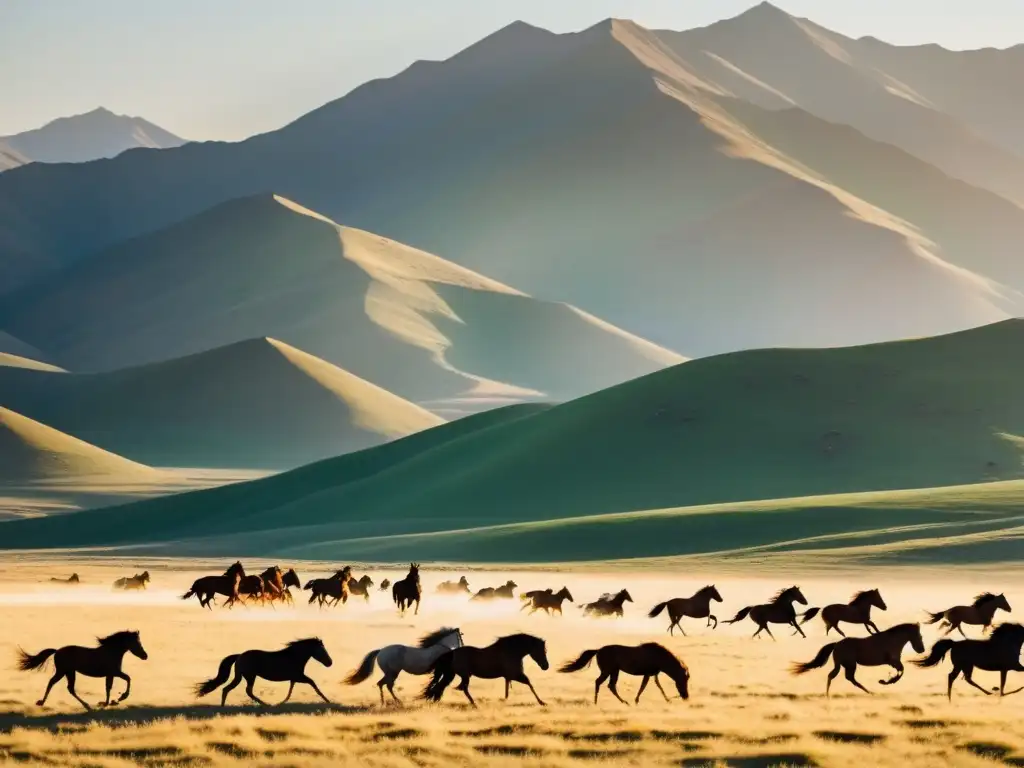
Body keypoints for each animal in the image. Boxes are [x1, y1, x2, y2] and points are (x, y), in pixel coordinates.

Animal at [17, 626, 148, 712]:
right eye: (137, 643)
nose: (145, 656)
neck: (111, 652)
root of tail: (57, 651)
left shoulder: (110, 674)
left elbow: (108, 687)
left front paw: (107, 703)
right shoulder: (114, 672)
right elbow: (128, 678)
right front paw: (120, 698)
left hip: (69, 672)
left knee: (69, 688)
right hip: (63, 671)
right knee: (54, 683)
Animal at [194, 638, 331, 708]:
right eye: (322, 650)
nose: (330, 663)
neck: (294, 656)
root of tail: (239, 656)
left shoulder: (294, 678)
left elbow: (290, 691)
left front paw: (281, 702)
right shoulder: (300, 677)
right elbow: (313, 684)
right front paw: (328, 701)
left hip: (241, 676)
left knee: (227, 689)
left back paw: (223, 706)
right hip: (249, 676)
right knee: (246, 691)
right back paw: (266, 704)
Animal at [419, 634, 548, 708]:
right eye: (541, 650)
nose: (546, 666)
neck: (512, 651)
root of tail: (451, 653)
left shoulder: (509, 676)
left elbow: (508, 689)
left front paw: (504, 700)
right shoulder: (516, 675)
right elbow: (530, 684)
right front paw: (542, 702)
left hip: (453, 674)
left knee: (441, 687)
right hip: (464, 675)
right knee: (462, 688)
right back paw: (474, 704)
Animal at [557, 643, 692, 704]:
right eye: (683, 680)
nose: (686, 696)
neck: (660, 658)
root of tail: (598, 650)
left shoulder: (653, 674)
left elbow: (659, 686)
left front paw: (667, 699)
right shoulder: (648, 673)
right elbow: (643, 686)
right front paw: (636, 700)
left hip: (614, 671)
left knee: (610, 685)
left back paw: (623, 702)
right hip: (608, 671)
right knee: (600, 682)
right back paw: (597, 702)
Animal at [786, 626, 925, 696]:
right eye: (920, 635)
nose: (921, 649)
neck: (892, 640)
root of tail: (836, 644)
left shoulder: (893, 662)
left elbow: (901, 671)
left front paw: (886, 681)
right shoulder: (893, 661)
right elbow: (901, 671)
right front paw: (886, 681)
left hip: (843, 665)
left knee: (839, 677)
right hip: (850, 665)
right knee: (844, 677)